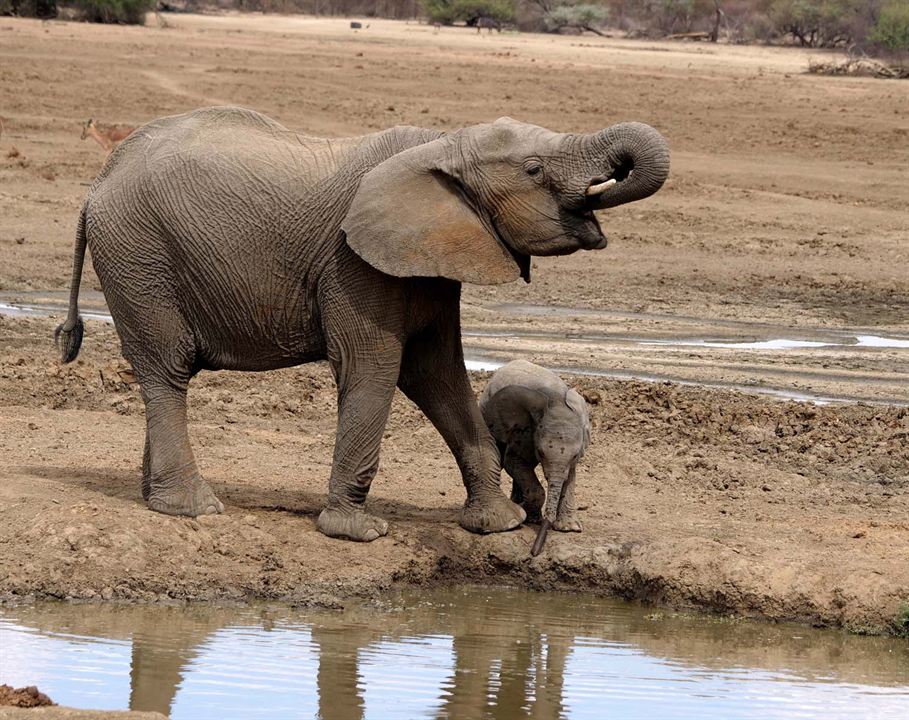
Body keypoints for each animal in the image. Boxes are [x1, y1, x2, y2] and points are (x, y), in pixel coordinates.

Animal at [478, 360, 592, 556]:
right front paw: (532, 519)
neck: (557, 401)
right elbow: (513, 462)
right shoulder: (526, 432)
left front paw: (569, 528)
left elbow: (570, 477)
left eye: (576, 455)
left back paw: (518, 502)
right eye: (541, 452)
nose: (534, 552)